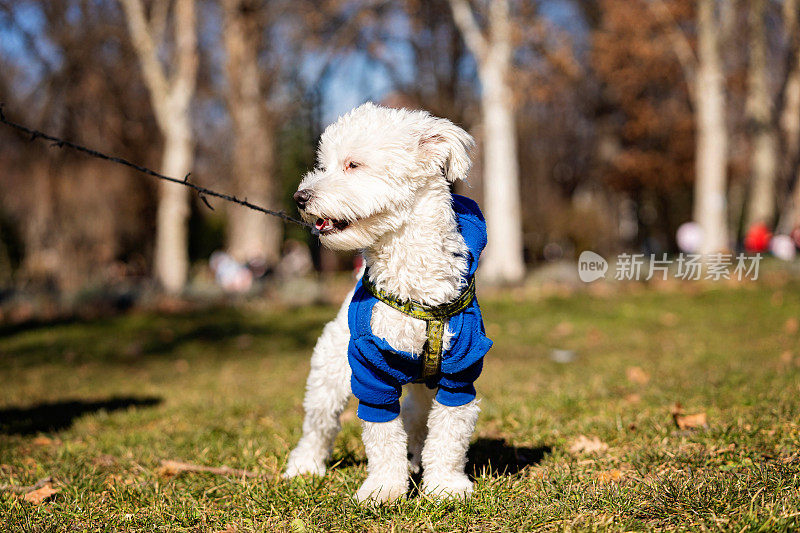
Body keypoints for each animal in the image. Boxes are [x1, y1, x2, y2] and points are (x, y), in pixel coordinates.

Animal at [284, 101, 490, 502]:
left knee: (416, 418)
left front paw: (445, 485)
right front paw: (384, 489)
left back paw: (415, 460)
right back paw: (304, 466)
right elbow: (382, 437)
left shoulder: (460, 371)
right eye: (324, 164)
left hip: (425, 386)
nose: (300, 197)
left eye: (352, 164)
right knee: (318, 424)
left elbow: (449, 435)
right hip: (330, 372)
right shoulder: (372, 369)